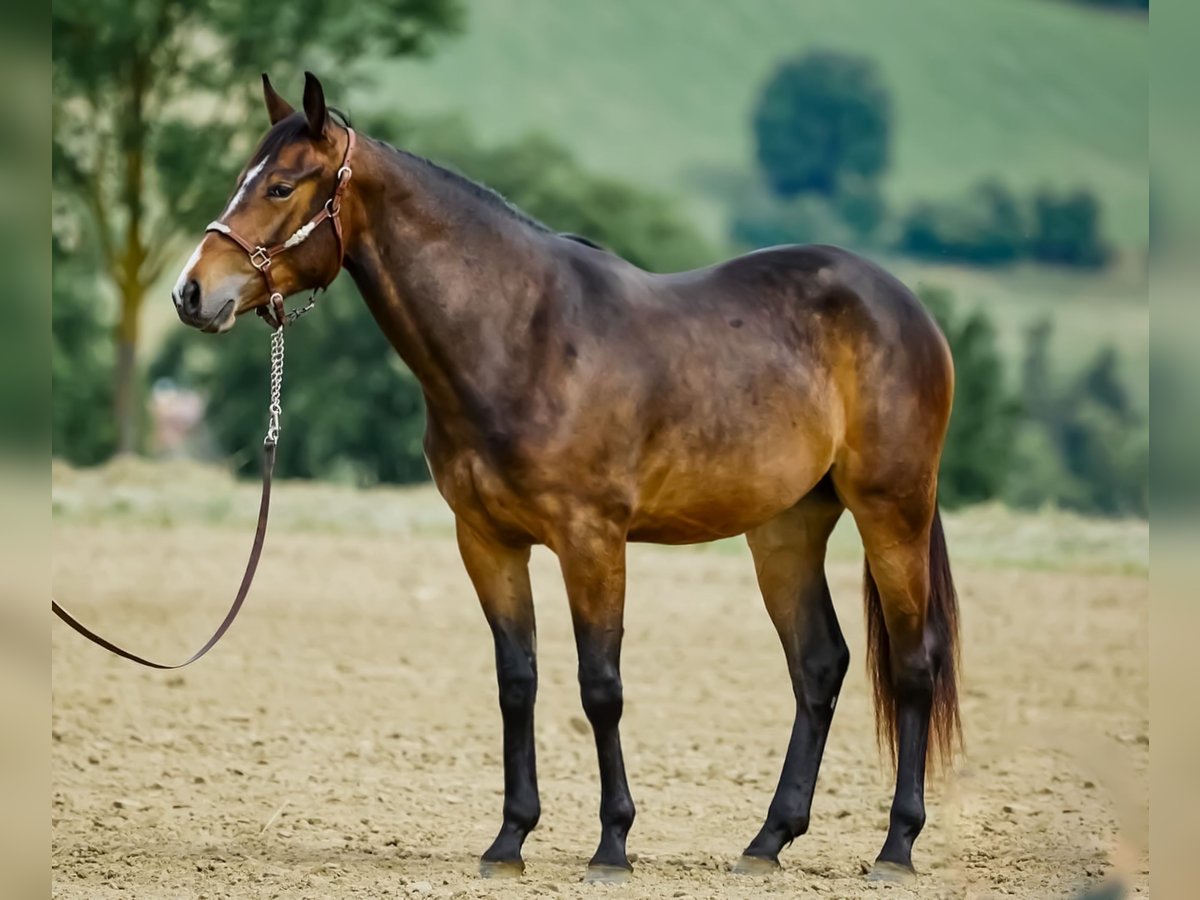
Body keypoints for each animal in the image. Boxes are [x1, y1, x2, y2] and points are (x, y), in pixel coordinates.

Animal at [169, 72, 960, 888]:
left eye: (282, 185)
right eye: (243, 179)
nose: (192, 292)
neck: (524, 337)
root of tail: (907, 308)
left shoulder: (592, 540)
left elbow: (599, 686)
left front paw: (612, 844)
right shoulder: (487, 541)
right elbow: (517, 681)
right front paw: (509, 840)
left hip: (891, 512)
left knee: (913, 664)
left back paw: (896, 847)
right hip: (786, 528)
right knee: (819, 665)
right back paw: (768, 840)